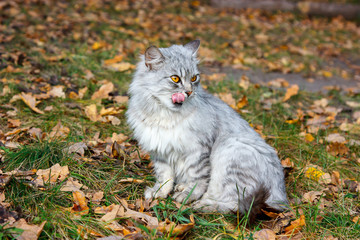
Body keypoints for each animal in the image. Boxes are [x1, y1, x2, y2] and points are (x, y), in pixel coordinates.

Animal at [126, 40, 286, 220]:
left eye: (194, 78)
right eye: (175, 78)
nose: (189, 92)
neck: (164, 116)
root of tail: (281, 196)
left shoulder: (198, 151)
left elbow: (198, 179)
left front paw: (188, 195)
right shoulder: (160, 151)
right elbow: (165, 177)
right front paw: (159, 192)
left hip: (230, 151)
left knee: (235, 205)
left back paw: (202, 205)